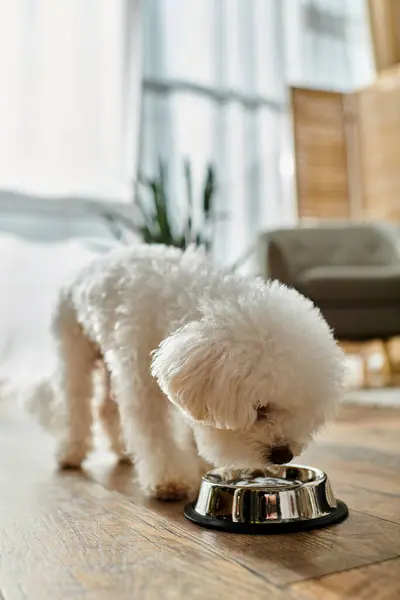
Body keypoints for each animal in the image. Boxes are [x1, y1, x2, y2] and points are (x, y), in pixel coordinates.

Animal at [27, 244, 344, 502]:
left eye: (303, 412)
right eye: (260, 409)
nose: (283, 454)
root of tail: (84, 268)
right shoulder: (140, 382)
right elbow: (153, 435)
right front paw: (168, 480)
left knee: (105, 408)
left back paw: (122, 450)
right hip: (74, 349)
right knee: (75, 403)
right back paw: (70, 452)